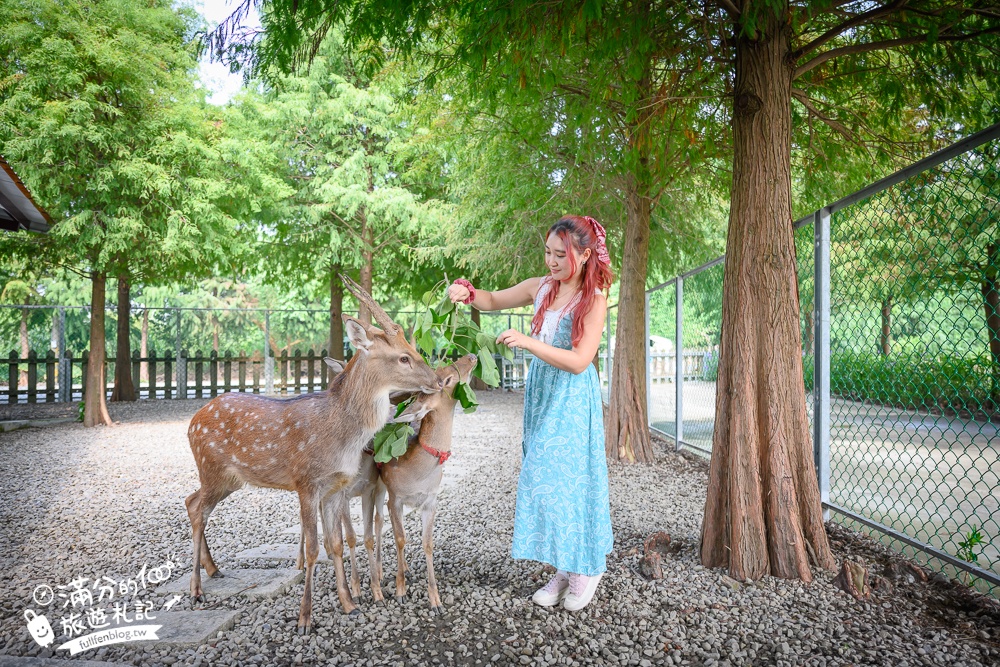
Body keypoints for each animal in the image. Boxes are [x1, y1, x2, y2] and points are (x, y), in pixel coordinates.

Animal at [185, 276, 442, 632]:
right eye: (403, 357)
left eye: (416, 350)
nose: (437, 380)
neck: (340, 437)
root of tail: (193, 420)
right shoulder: (305, 482)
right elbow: (312, 549)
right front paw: (305, 619)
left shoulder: (334, 488)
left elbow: (335, 544)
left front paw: (349, 604)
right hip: (210, 466)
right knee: (197, 508)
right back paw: (196, 589)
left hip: (228, 479)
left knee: (192, 502)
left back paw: (213, 570)